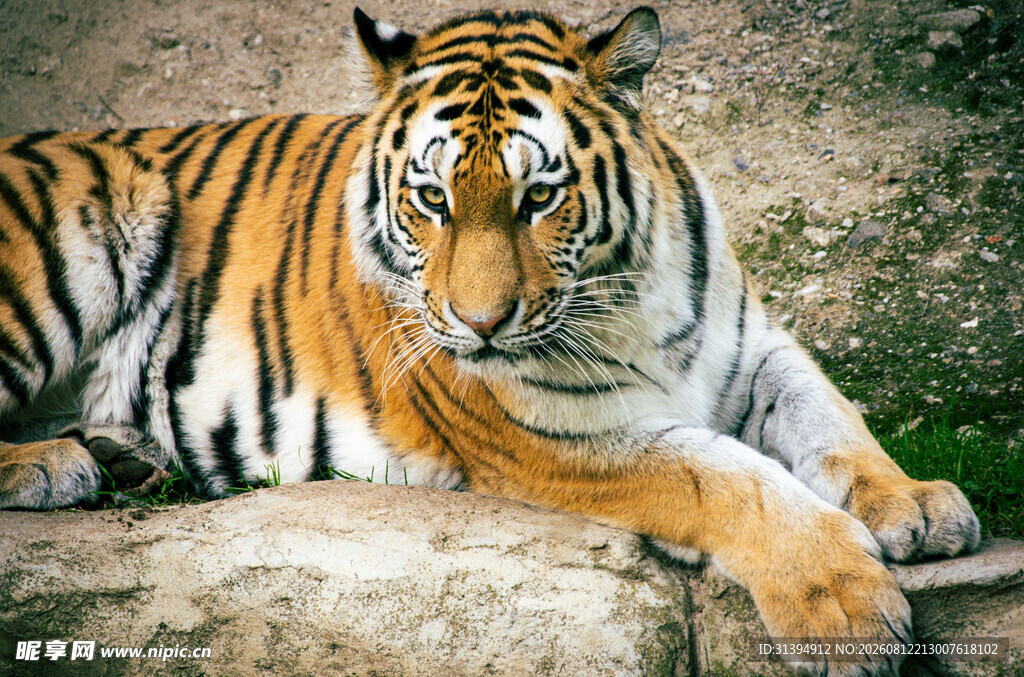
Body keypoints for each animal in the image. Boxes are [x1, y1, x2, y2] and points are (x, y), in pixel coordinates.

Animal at [0, 6, 980, 676]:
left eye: (537, 198)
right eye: (431, 199)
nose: (479, 324)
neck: (630, 293)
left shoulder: (751, 348)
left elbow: (831, 419)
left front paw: (916, 504)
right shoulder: (563, 436)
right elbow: (729, 479)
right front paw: (844, 607)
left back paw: (120, 454)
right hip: (84, 217)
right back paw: (57, 464)